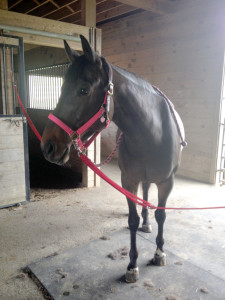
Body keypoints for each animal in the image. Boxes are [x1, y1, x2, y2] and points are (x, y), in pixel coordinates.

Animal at [40, 35, 185, 284]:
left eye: (83, 89)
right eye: (62, 87)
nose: (48, 146)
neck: (152, 133)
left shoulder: (167, 182)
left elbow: (161, 215)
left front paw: (159, 254)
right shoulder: (128, 180)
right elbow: (133, 220)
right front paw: (132, 265)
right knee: (145, 196)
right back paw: (146, 224)